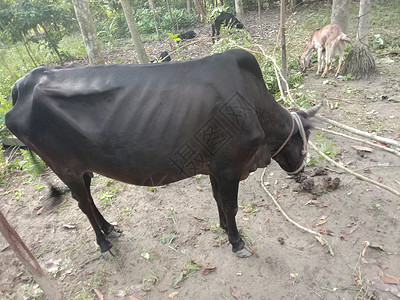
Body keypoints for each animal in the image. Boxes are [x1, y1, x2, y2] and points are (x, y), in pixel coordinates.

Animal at [5, 49, 318, 258]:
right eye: (304, 137)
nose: (302, 168)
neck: (255, 106)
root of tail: (24, 84)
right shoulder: (229, 166)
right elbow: (231, 205)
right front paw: (237, 242)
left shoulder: (214, 167)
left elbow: (218, 199)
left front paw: (223, 228)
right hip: (64, 166)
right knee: (82, 203)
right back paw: (104, 244)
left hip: (83, 167)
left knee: (89, 198)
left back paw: (109, 228)